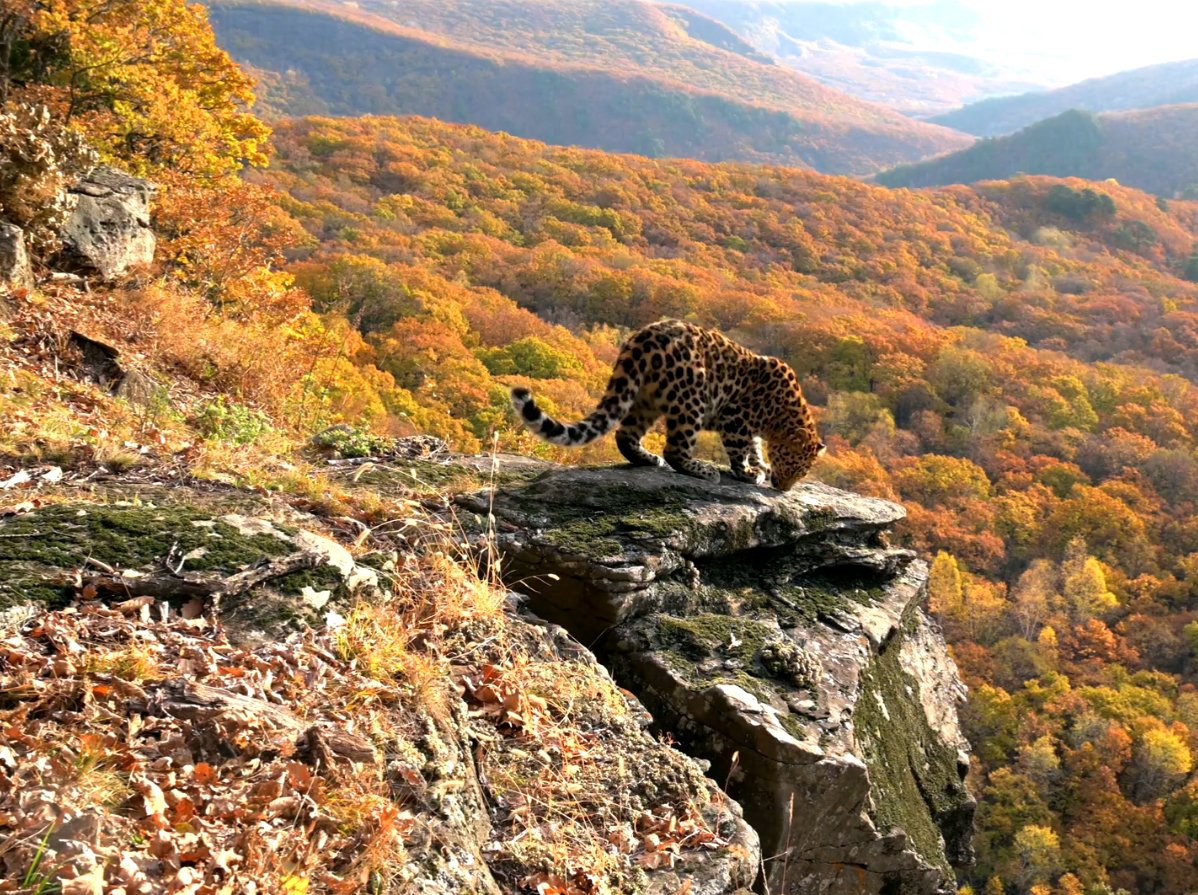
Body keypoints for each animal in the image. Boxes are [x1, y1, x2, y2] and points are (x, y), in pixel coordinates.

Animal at [510, 319, 825, 491]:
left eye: (802, 472)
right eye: (792, 465)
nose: (783, 489)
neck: (781, 417)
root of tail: (642, 336)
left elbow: (755, 447)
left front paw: (761, 465)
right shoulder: (736, 419)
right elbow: (740, 450)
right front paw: (749, 473)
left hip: (643, 398)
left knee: (625, 435)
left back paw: (648, 459)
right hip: (692, 398)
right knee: (675, 449)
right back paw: (702, 470)